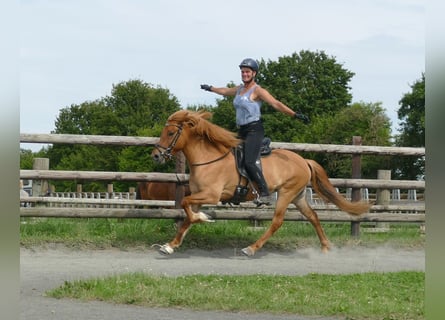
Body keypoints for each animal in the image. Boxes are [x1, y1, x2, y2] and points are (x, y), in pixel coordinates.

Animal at [151, 111, 370, 256]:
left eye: (170, 133)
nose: (155, 156)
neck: (209, 159)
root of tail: (304, 160)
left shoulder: (211, 195)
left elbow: (186, 205)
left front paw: (203, 218)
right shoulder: (199, 197)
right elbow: (186, 218)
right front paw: (170, 245)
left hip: (286, 194)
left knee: (277, 221)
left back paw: (251, 248)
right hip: (298, 196)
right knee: (313, 217)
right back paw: (325, 247)